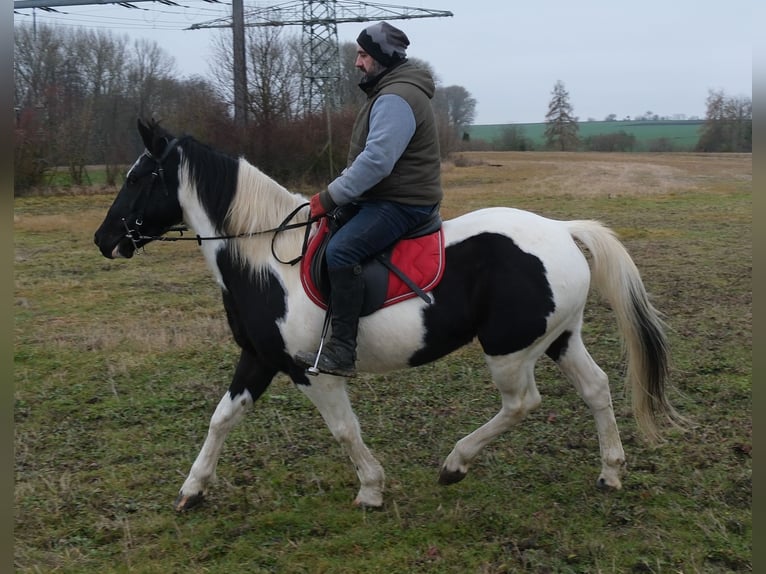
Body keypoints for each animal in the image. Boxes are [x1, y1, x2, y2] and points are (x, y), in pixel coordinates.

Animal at [94, 118, 680, 512]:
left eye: (139, 177)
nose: (103, 240)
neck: (265, 259)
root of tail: (561, 228)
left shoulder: (310, 371)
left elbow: (344, 431)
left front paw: (371, 489)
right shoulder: (259, 357)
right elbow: (222, 418)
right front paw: (192, 489)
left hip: (509, 350)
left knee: (522, 403)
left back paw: (455, 463)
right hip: (558, 337)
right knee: (597, 388)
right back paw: (610, 472)